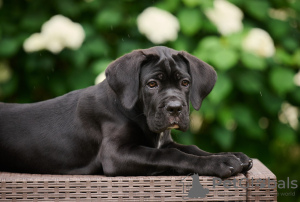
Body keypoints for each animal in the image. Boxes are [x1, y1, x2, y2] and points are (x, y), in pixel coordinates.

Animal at [0, 46, 253, 178]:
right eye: (152, 84)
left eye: (184, 83)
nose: (174, 108)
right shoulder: (115, 154)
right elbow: (172, 155)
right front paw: (219, 163)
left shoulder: (165, 142)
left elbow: (191, 148)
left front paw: (231, 155)